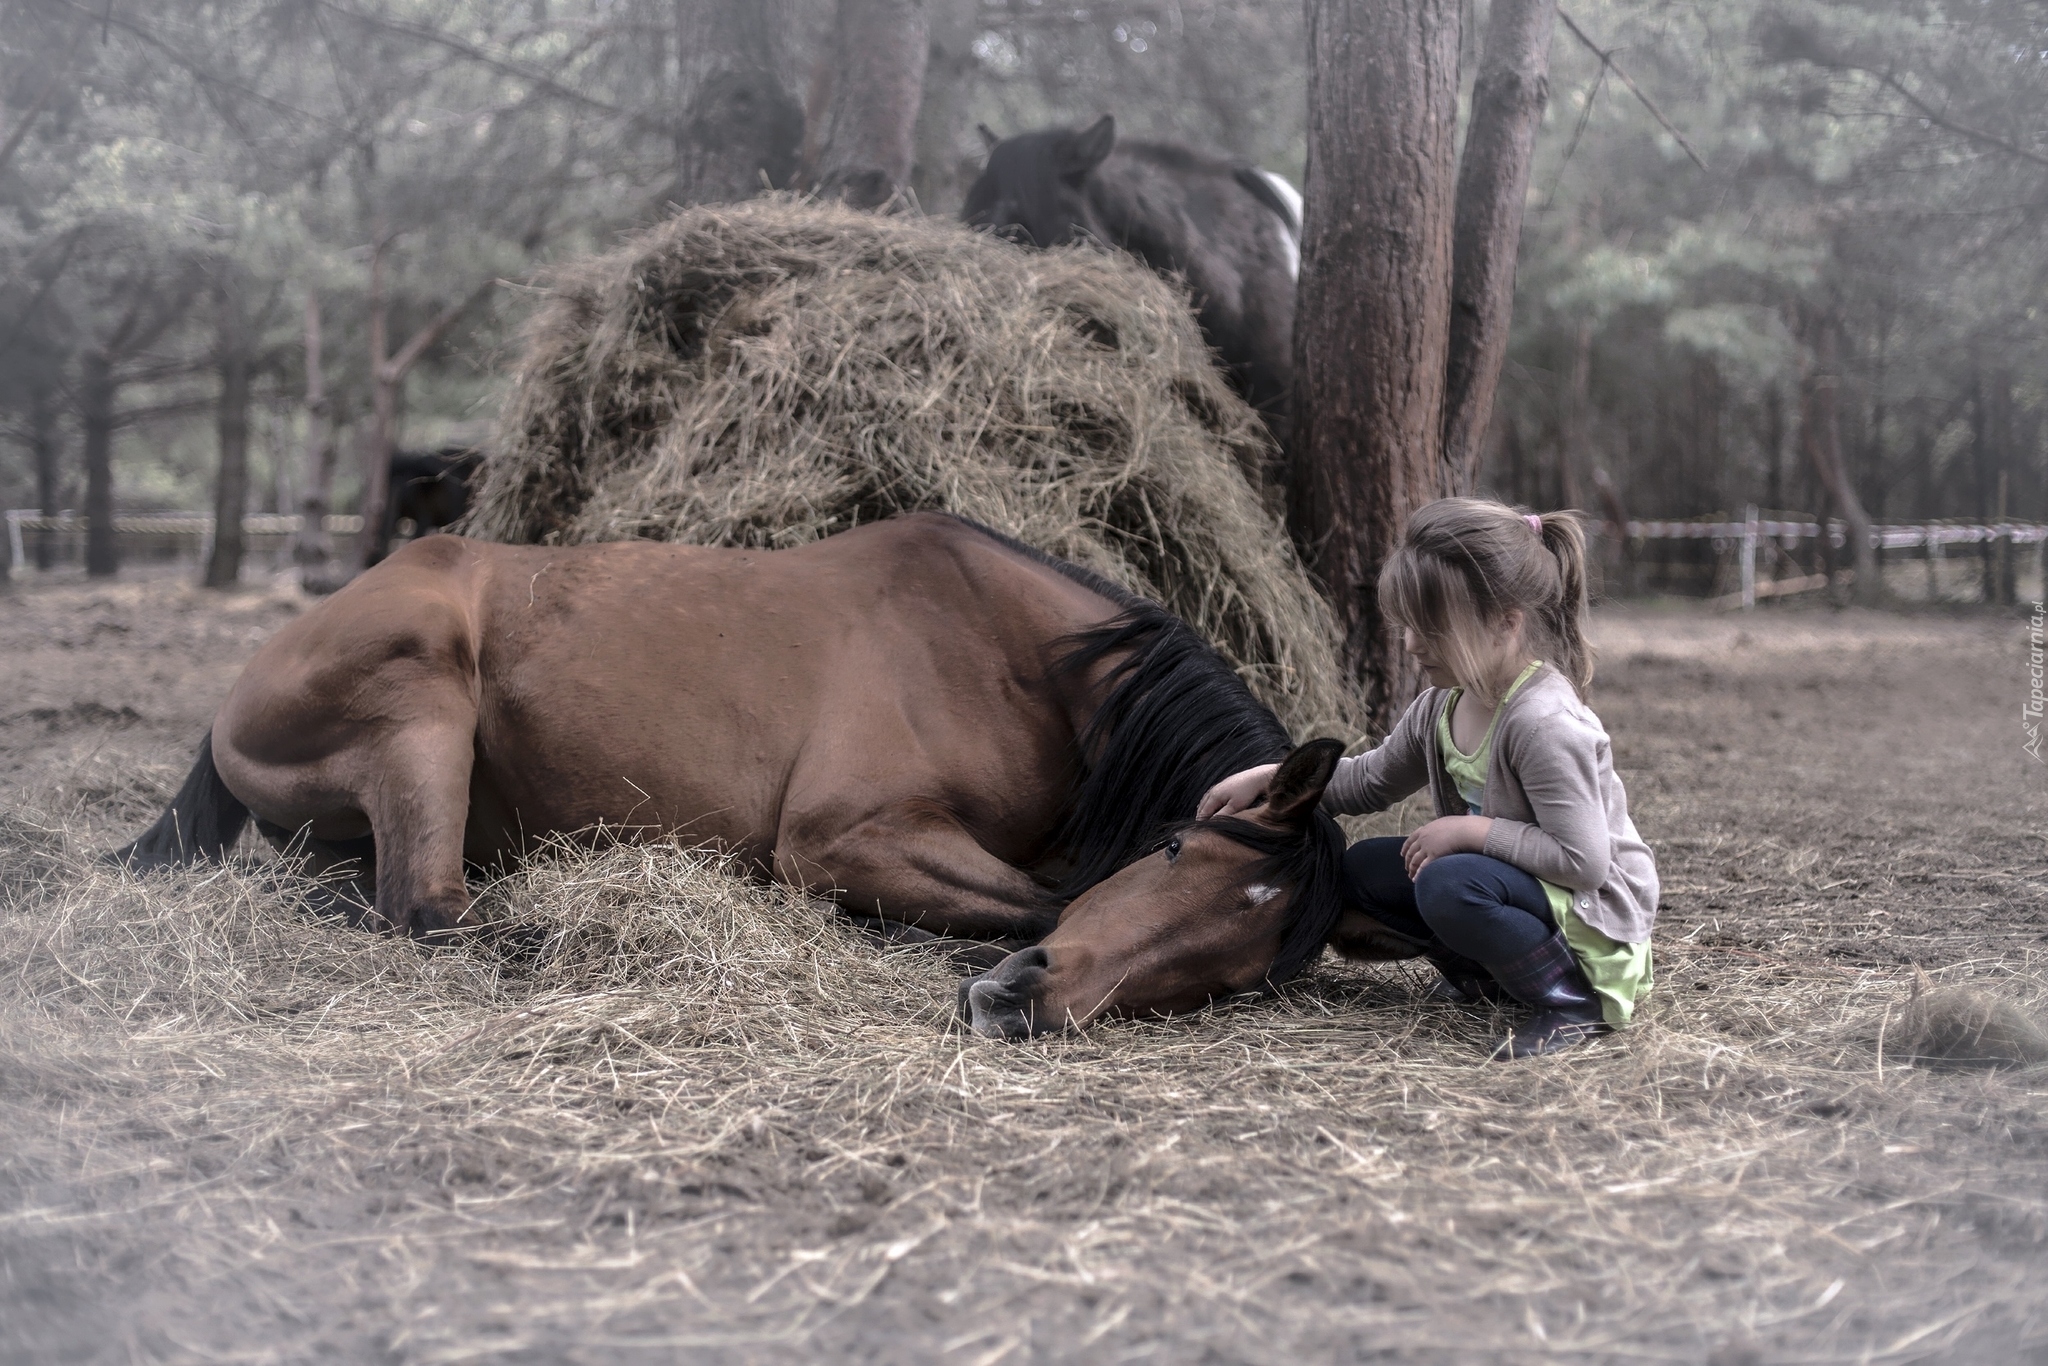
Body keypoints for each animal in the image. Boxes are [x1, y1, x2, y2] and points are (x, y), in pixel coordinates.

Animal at [119, 511, 1351, 1036]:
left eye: (1240, 971)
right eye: (1174, 847)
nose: (1021, 1001)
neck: (1011, 659)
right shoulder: (842, 835)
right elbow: (1044, 895)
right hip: (424, 700)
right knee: (424, 908)